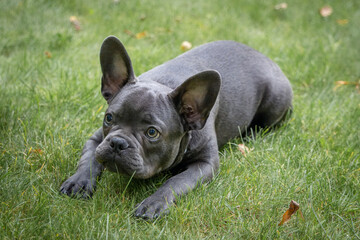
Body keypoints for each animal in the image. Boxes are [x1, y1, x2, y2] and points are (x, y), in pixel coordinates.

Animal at [61, 36, 292, 219]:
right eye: (109, 118)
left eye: (152, 132)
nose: (118, 143)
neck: (163, 84)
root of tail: (266, 58)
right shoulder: (97, 139)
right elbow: (88, 159)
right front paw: (78, 181)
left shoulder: (205, 164)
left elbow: (177, 180)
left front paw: (154, 202)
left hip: (274, 102)